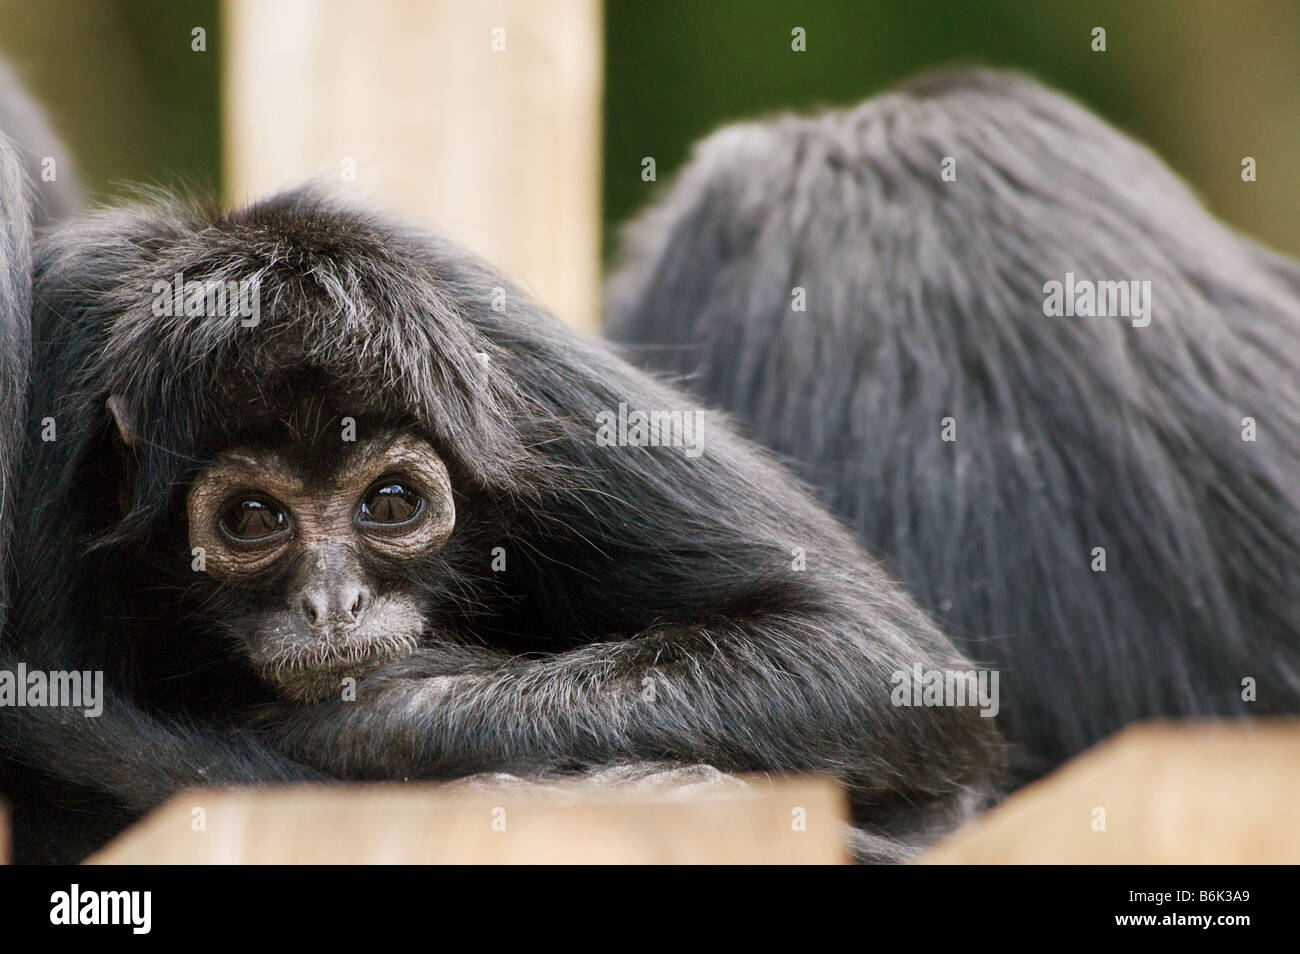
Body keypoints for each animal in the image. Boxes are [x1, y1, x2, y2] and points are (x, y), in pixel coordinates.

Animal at [0, 186, 1003, 863]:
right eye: (253, 518)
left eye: (390, 504)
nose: (334, 603)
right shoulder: (67, 340)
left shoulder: (507, 357)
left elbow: (883, 659)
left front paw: (377, 714)